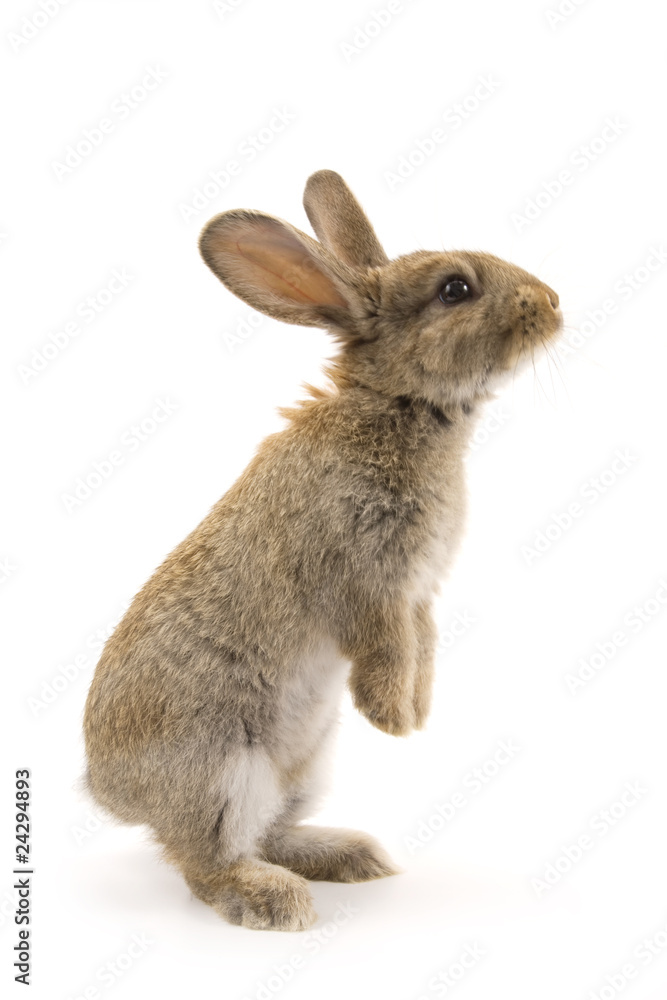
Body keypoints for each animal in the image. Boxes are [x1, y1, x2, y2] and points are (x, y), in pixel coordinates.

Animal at [83, 169, 562, 932]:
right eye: (455, 289)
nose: (551, 302)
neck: (398, 405)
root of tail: (108, 791)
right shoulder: (365, 582)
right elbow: (386, 645)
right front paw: (391, 718)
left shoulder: (419, 593)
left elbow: (423, 644)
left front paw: (414, 715)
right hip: (224, 773)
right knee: (206, 863)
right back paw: (275, 901)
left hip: (302, 768)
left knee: (267, 834)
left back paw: (352, 857)